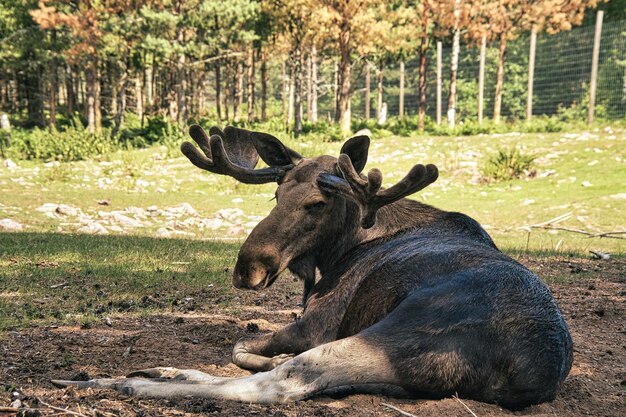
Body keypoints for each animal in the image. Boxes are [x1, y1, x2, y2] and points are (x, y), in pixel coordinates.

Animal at [53, 124, 572, 410]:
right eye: (275, 193)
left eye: (319, 202)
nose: (248, 267)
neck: (337, 251)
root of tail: (527, 374)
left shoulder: (317, 322)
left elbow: (241, 348)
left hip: (394, 331)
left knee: (284, 382)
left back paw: (124, 382)